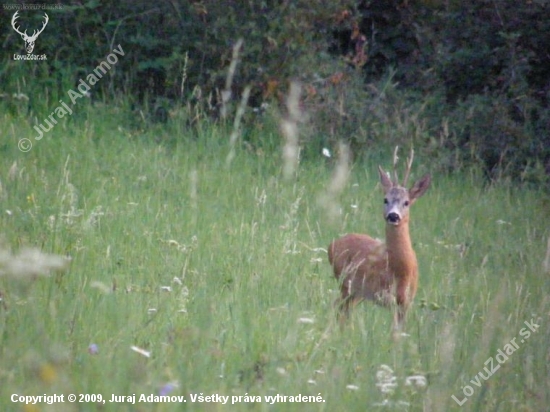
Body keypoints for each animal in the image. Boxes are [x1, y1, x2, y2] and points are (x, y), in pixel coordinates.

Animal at [328, 148, 432, 332]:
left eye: (406, 202)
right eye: (385, 199)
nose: (393, 216)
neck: (401, 269)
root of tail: (331, 245)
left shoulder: (406, 302)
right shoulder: (384, 295)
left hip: (355, 292)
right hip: (346, 284)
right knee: (339, 308)